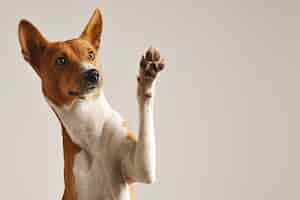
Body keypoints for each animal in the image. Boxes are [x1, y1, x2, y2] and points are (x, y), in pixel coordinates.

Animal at [17, 7, 165, 200]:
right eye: (61, 60)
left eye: (91, 54)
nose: (93, 74)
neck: (89, 125)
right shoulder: (78, 189)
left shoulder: (140, 167)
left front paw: (147, 77)